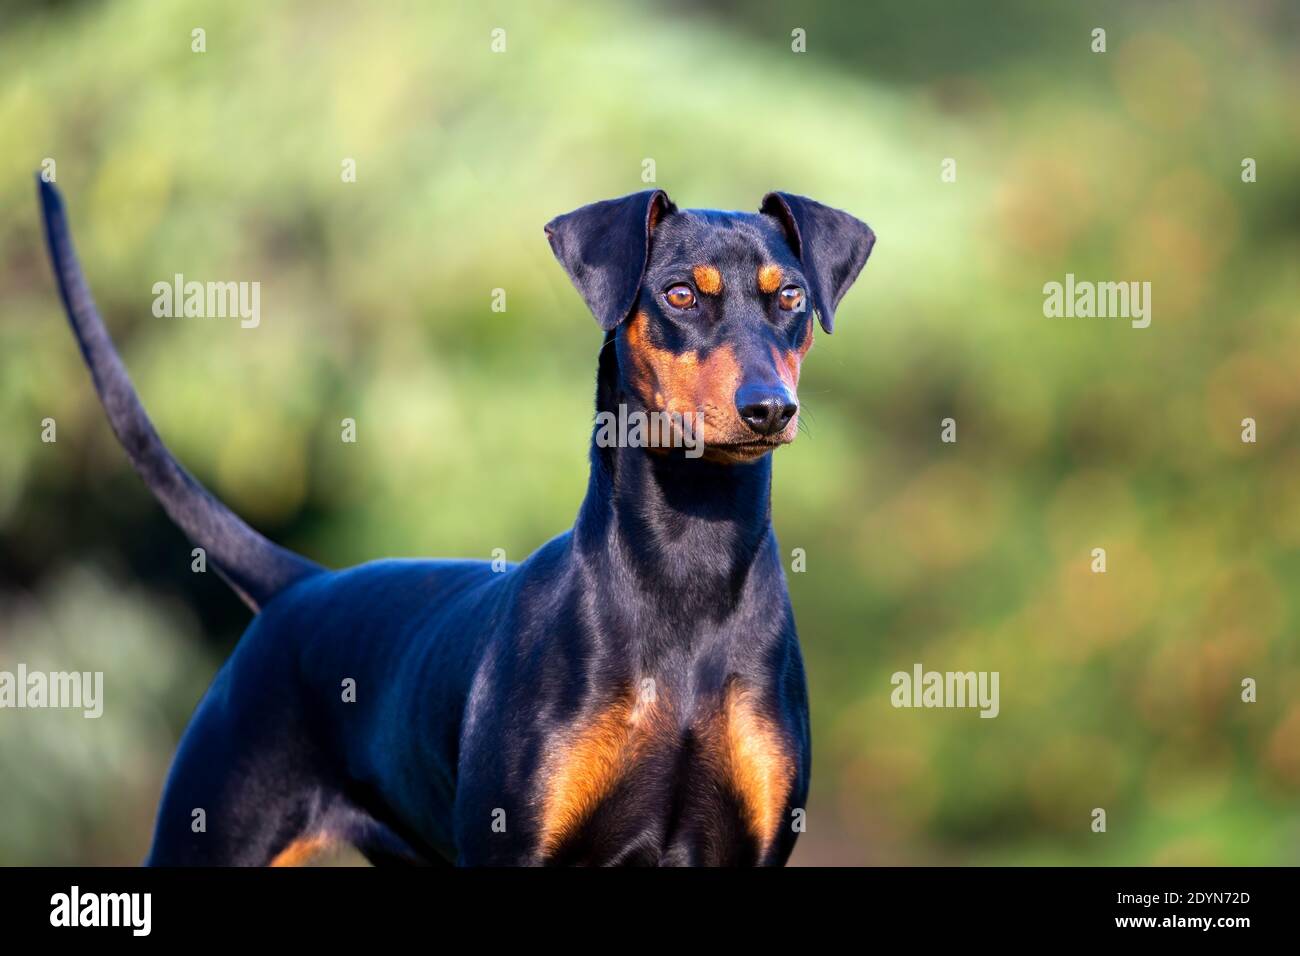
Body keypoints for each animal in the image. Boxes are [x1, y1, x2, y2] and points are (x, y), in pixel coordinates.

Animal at [38, 179, 873, 868]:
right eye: (677, 294)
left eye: (791, 298)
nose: (769, 409)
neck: (686, 565)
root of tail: (300, 587)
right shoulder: (513, 850)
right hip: (213, 830)